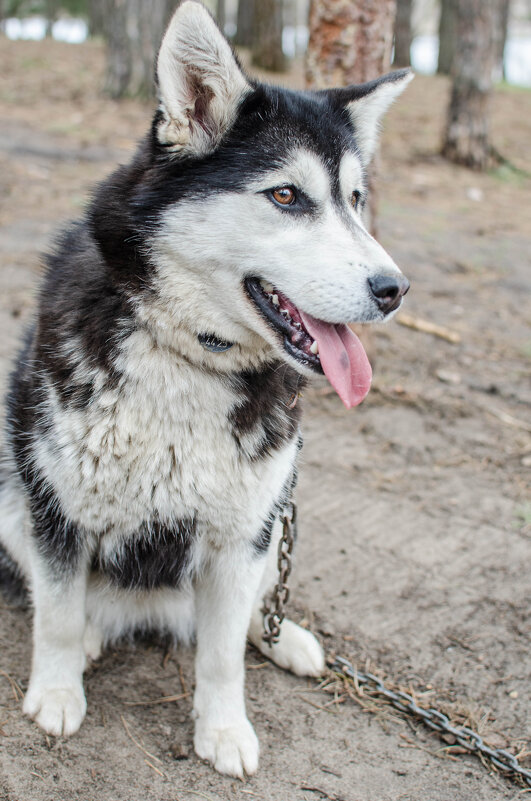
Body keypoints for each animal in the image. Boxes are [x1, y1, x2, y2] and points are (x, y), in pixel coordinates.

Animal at [0, 0, 414, 776]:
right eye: (285, 195)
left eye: (354, 199)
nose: (394, 289)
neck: (189, 358)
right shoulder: (58, 507)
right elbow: (61, 611)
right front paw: (57, 692)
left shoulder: (238, 534)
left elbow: (221, 656)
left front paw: (223, 731)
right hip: (11, 490)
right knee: (58, 595)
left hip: (275, 519)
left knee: (253, 608)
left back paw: (283, 636)